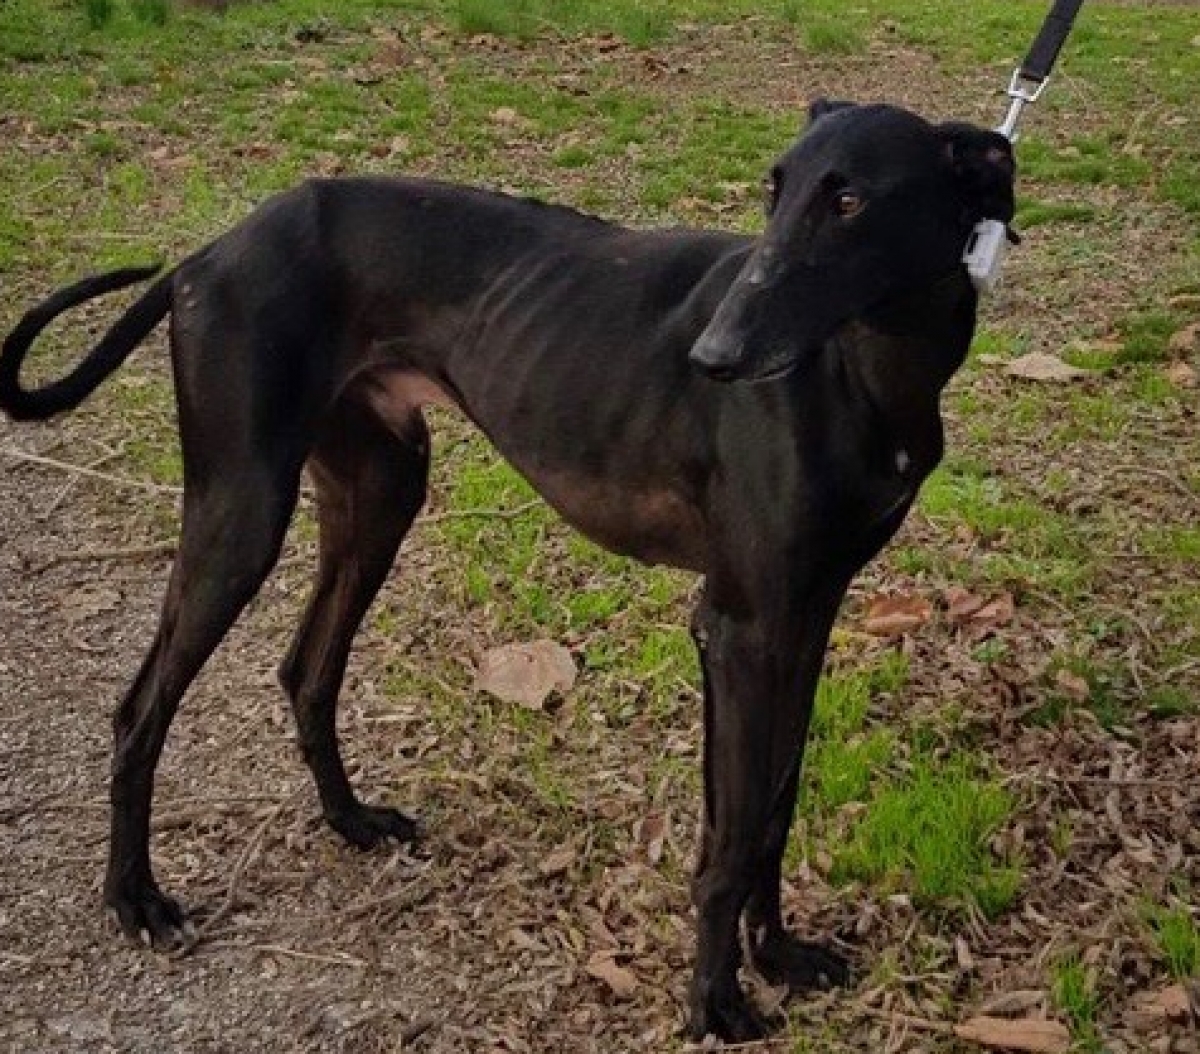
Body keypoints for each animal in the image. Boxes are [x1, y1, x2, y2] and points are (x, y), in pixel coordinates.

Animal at [0, 99, 1015, 1042]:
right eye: (776, 189)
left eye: (848, 199)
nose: (713, 359)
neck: (864, 367)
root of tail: (206, 253)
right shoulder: (740, 626)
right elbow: (728, 839)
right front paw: (716, 1002)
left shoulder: (807, 616)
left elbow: (773, 804)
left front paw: (780, 956)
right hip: (240, 510)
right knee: (142, 707)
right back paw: (134, 899)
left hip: (379, 493)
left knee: (305, 670)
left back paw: (351, 821)